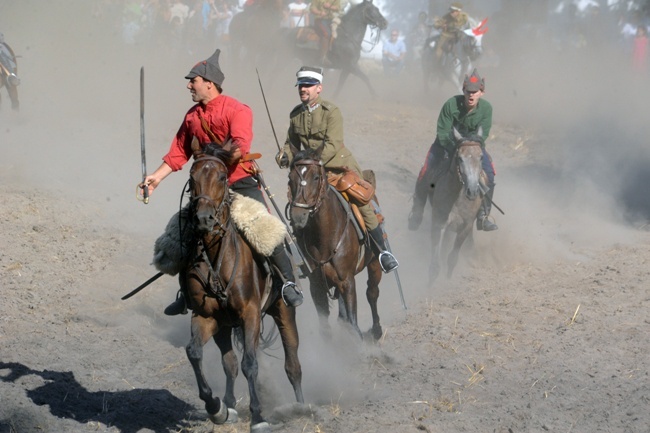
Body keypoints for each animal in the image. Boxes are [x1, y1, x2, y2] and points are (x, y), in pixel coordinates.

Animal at [182, 142, 304, 432]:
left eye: (222, 177)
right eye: (192, 178)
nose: (204, 218)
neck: (218, 259)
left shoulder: (251, 314)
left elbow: (251, 363)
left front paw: (258, 417)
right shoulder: (206, 316)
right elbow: (195, 352)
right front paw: (215, 407)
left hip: (283, 311)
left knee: (292, 364)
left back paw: (302, 407)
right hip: (225, 325)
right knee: (229, 363)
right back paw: (228, 405)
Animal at [286, 145, 382, 340]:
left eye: (316, 177)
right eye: (290, 178)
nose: (298, 216)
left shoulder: (347, 281)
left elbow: (353, 324)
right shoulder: (317, 286)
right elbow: (325, 327)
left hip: (374, 263)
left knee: (372, 292)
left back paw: (377, 330)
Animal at [428, 127, 484, 284]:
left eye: (481, 157)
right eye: (460, 158)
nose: (472, 190)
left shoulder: (465, 227)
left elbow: (452, 258)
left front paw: (448, 280)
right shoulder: (439, 224)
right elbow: (435, 264)